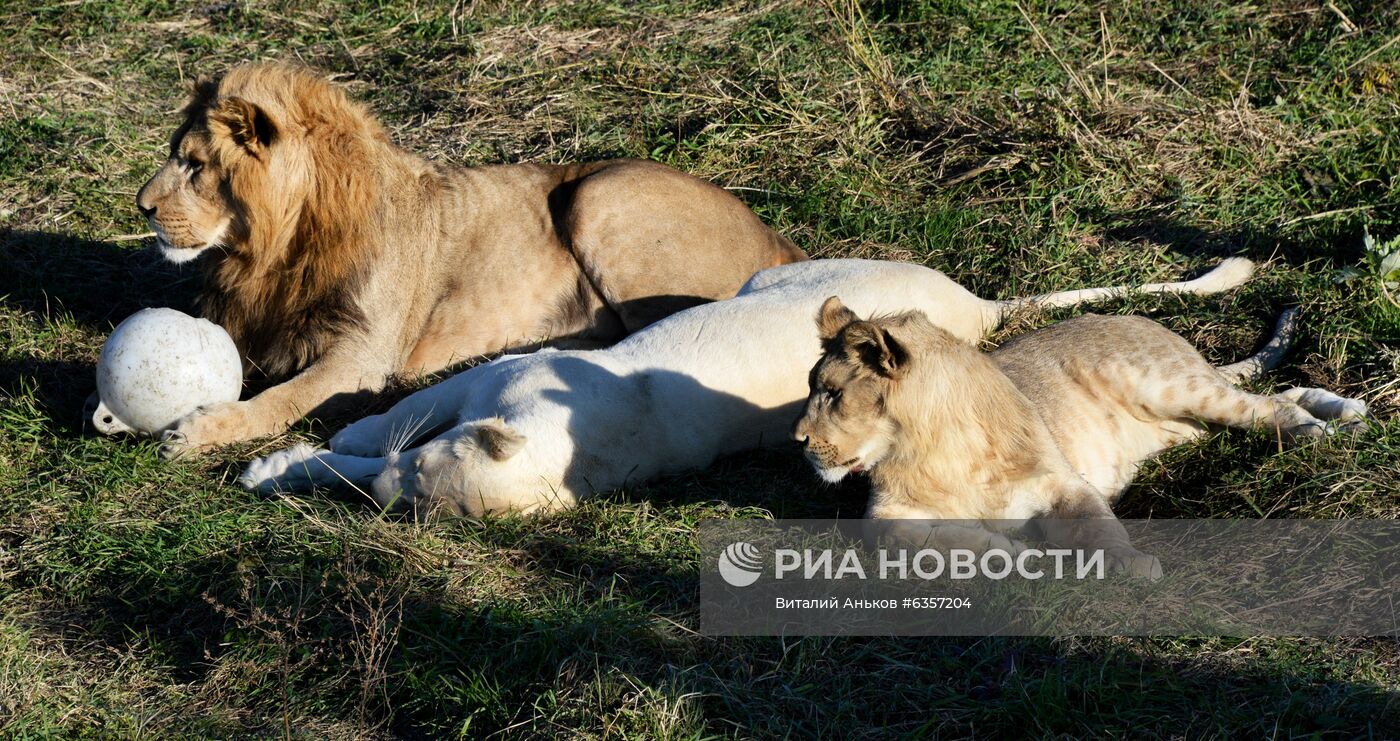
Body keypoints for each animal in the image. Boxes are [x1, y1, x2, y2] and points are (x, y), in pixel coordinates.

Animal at [132, 62, 806, 457]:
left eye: (194, 165)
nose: (140, 207)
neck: (273, 249)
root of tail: (781, 239)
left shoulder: (363, 357)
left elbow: (281, 401)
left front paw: (195, 430)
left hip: (597, 195)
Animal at [238, 256, 1260, 519]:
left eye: (416, 506)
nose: (389, 491)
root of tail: (975, 304)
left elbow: (367, 445)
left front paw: (287, 469)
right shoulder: (479, 383)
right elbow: (380, 421)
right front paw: (287, 463)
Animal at [792, 298, 1369, 577]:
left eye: (833, 394)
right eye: (811, 387)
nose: (797, 441)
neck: (928, 448)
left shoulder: (1063, 484)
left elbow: (1099, 529)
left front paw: (1133, 568)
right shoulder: (887, 519)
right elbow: (921, 537)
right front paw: (1013, 552)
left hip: (1169, 384)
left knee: (1266, 404)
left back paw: (1323, 427)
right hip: (1188, 426)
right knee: (1277, 392)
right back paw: (1347, 412)